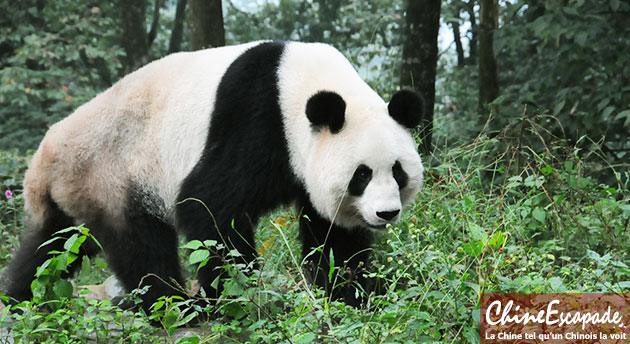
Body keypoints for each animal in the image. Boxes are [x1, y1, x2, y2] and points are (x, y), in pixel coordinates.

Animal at [2, 40, 424, 310]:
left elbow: (333, 234)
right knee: (139, 246)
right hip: (111, 173)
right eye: (362, 175)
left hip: (76, 190)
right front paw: (241, 297)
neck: (297, 83)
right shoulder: (256, 120)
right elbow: (209, 205)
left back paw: (19, 299)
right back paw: (173, 305)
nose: (386, 214)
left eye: (398, 172)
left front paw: (350, 293)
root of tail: (43, 159)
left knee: (54, 244)